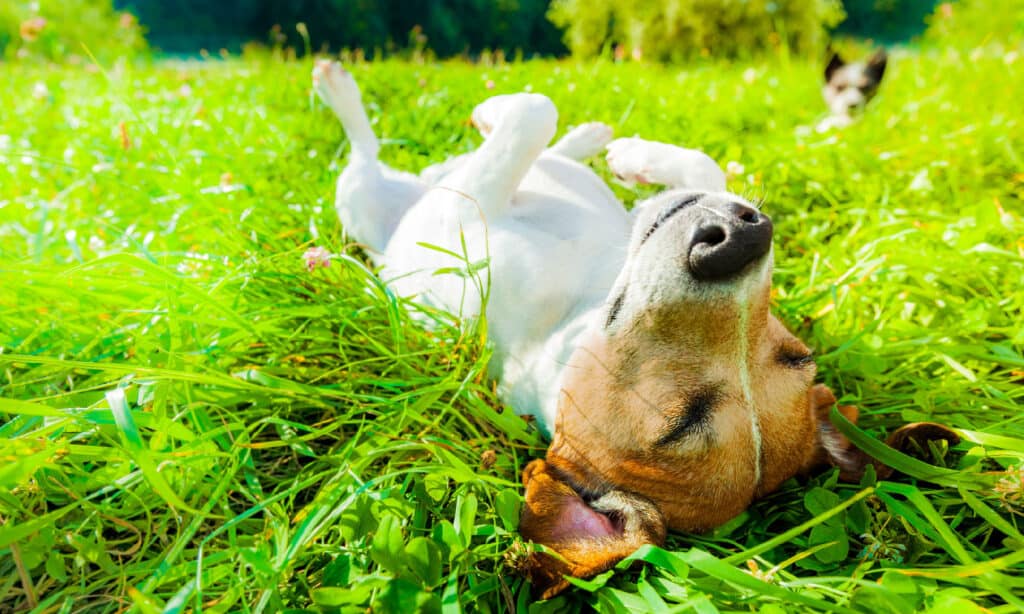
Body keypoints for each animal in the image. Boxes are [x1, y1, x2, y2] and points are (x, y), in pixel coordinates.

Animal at [309, 59, 950, 597]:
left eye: (678, 424)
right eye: (798, 355)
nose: (739, 240)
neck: (583, 298)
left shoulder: (464, 225)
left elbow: (532, 113)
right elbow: (693, 164)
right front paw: (634, 158)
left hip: (362, 203)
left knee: (365, 158)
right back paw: (587, 139)